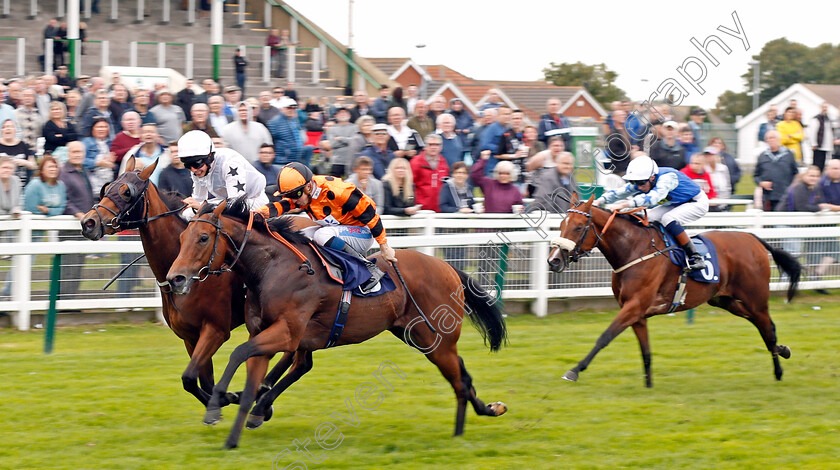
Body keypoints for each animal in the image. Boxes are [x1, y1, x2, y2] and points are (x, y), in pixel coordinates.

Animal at [78, 160, 308, 410]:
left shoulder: (215, 330)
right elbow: (196, 381)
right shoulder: (190, 336)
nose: (88, 222)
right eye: (106, 188)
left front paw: (229, 397)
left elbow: (191, 377)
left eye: (126, 192)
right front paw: (224, 399)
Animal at [164, 197, 506, 448]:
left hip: (435, 340)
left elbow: (237, 354)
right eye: (181, 237)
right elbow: (248, 382)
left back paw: (464, 429)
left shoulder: (287, 333)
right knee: (462, 374)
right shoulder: (264, 334)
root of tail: (448, 268)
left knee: (459, 380)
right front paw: (234, 432)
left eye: (203, 237)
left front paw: (216, 405)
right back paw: (483, 413)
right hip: (418, 336)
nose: (175, 278)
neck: (274, 267)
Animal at [548, 196, 796, 388]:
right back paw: (782, 350)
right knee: (762, 326)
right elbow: (646, 352)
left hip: (755, 298)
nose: (554, 260)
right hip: (724, 300)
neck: (634, 249)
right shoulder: (637, 313)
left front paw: (574, 370)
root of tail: (754, 238)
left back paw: (779, 371)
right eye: (561, 224)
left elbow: (604, 337)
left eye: (578, 227)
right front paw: (648, 385)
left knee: (767, 327)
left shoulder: (634, 306)